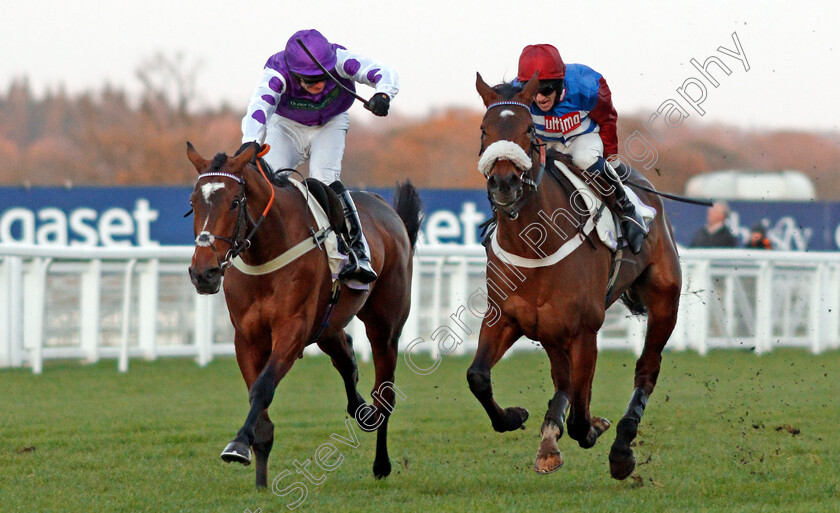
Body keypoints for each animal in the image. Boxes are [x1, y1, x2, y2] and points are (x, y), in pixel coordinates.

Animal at [184, 142, 420, 486]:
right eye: (193, 202)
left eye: (235, 202)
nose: (204, 273)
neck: (265, 253)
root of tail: (388, 210)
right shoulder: (247, 338)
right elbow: (259, 402)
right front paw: (260, 480)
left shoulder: (292, 329)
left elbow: (263, 388)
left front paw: (238, 444)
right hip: (326, 325)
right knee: (346, 357)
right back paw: (361, 410)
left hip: (385, 325)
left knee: (384, 394)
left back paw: (381, 463)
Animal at [466, 74, 684, 478]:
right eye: (484, 130)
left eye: (528, 131)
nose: (504, 184)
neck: (534, 244)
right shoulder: (504, 317)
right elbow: (478, 377)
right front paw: (514, 416)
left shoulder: (584, 329)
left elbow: (582, 417)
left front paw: (595, 429)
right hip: (551, 331)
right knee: (562, 379)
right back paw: (550, 438)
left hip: (664, 300)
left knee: (646, 369)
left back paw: (621, 447)